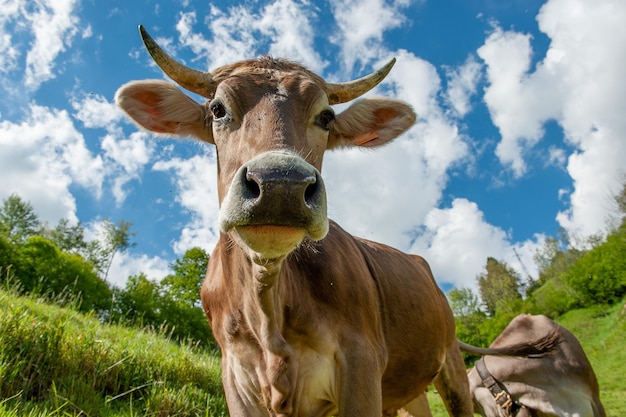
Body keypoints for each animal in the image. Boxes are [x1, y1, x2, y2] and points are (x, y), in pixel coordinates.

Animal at [114, 26, 472, 416]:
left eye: (326, 117)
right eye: (218, 109)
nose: (280, 184)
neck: (268, 317)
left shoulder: (361, 361)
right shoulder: (234, 375)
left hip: (453, 367)